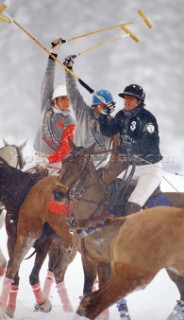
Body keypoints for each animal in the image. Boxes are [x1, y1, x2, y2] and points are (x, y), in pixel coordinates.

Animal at [50, 142, 184, 320]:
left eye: (80, 163)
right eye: (64, 161)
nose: (58, 193)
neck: (95, 212)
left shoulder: (109, 261)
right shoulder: (89, 258)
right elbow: (88, 289)